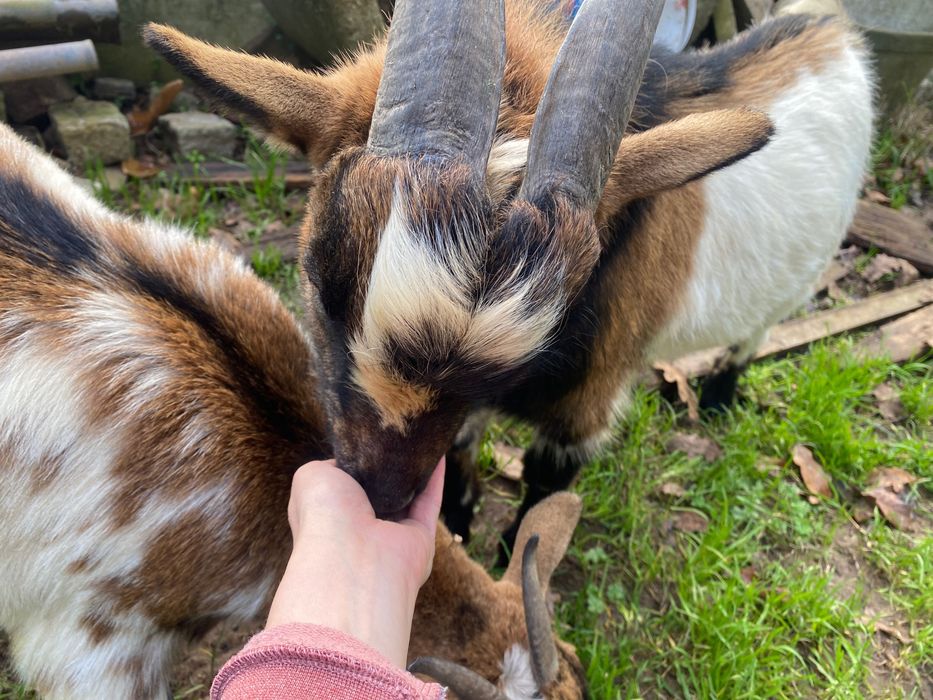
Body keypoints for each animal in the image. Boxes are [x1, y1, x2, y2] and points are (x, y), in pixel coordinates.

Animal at [145, 0, 873, 551]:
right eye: (322, 286)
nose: (380, 498)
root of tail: (832, 25)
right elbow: (465, 447)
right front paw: (459, 522)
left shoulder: (586, 404)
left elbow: (542, 492)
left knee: (759, 328)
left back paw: (720, 391)